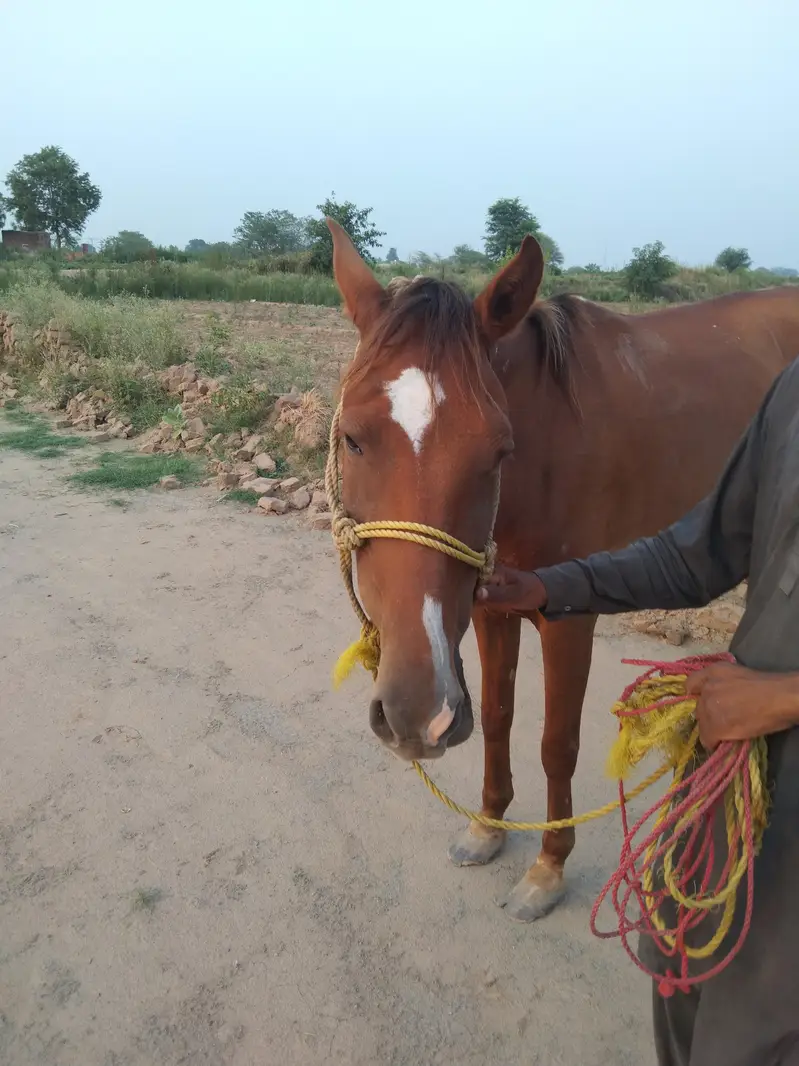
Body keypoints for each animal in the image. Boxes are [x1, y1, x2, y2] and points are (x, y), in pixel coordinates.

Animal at [326, 218, 799, 921]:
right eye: (353, 438)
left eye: (498, 451)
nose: (415, 712)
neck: (547, 448)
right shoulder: (493, 605)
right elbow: (498, 716)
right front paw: (488, 826)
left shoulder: (571, 617)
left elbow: (557, 742)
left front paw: (549, 868)